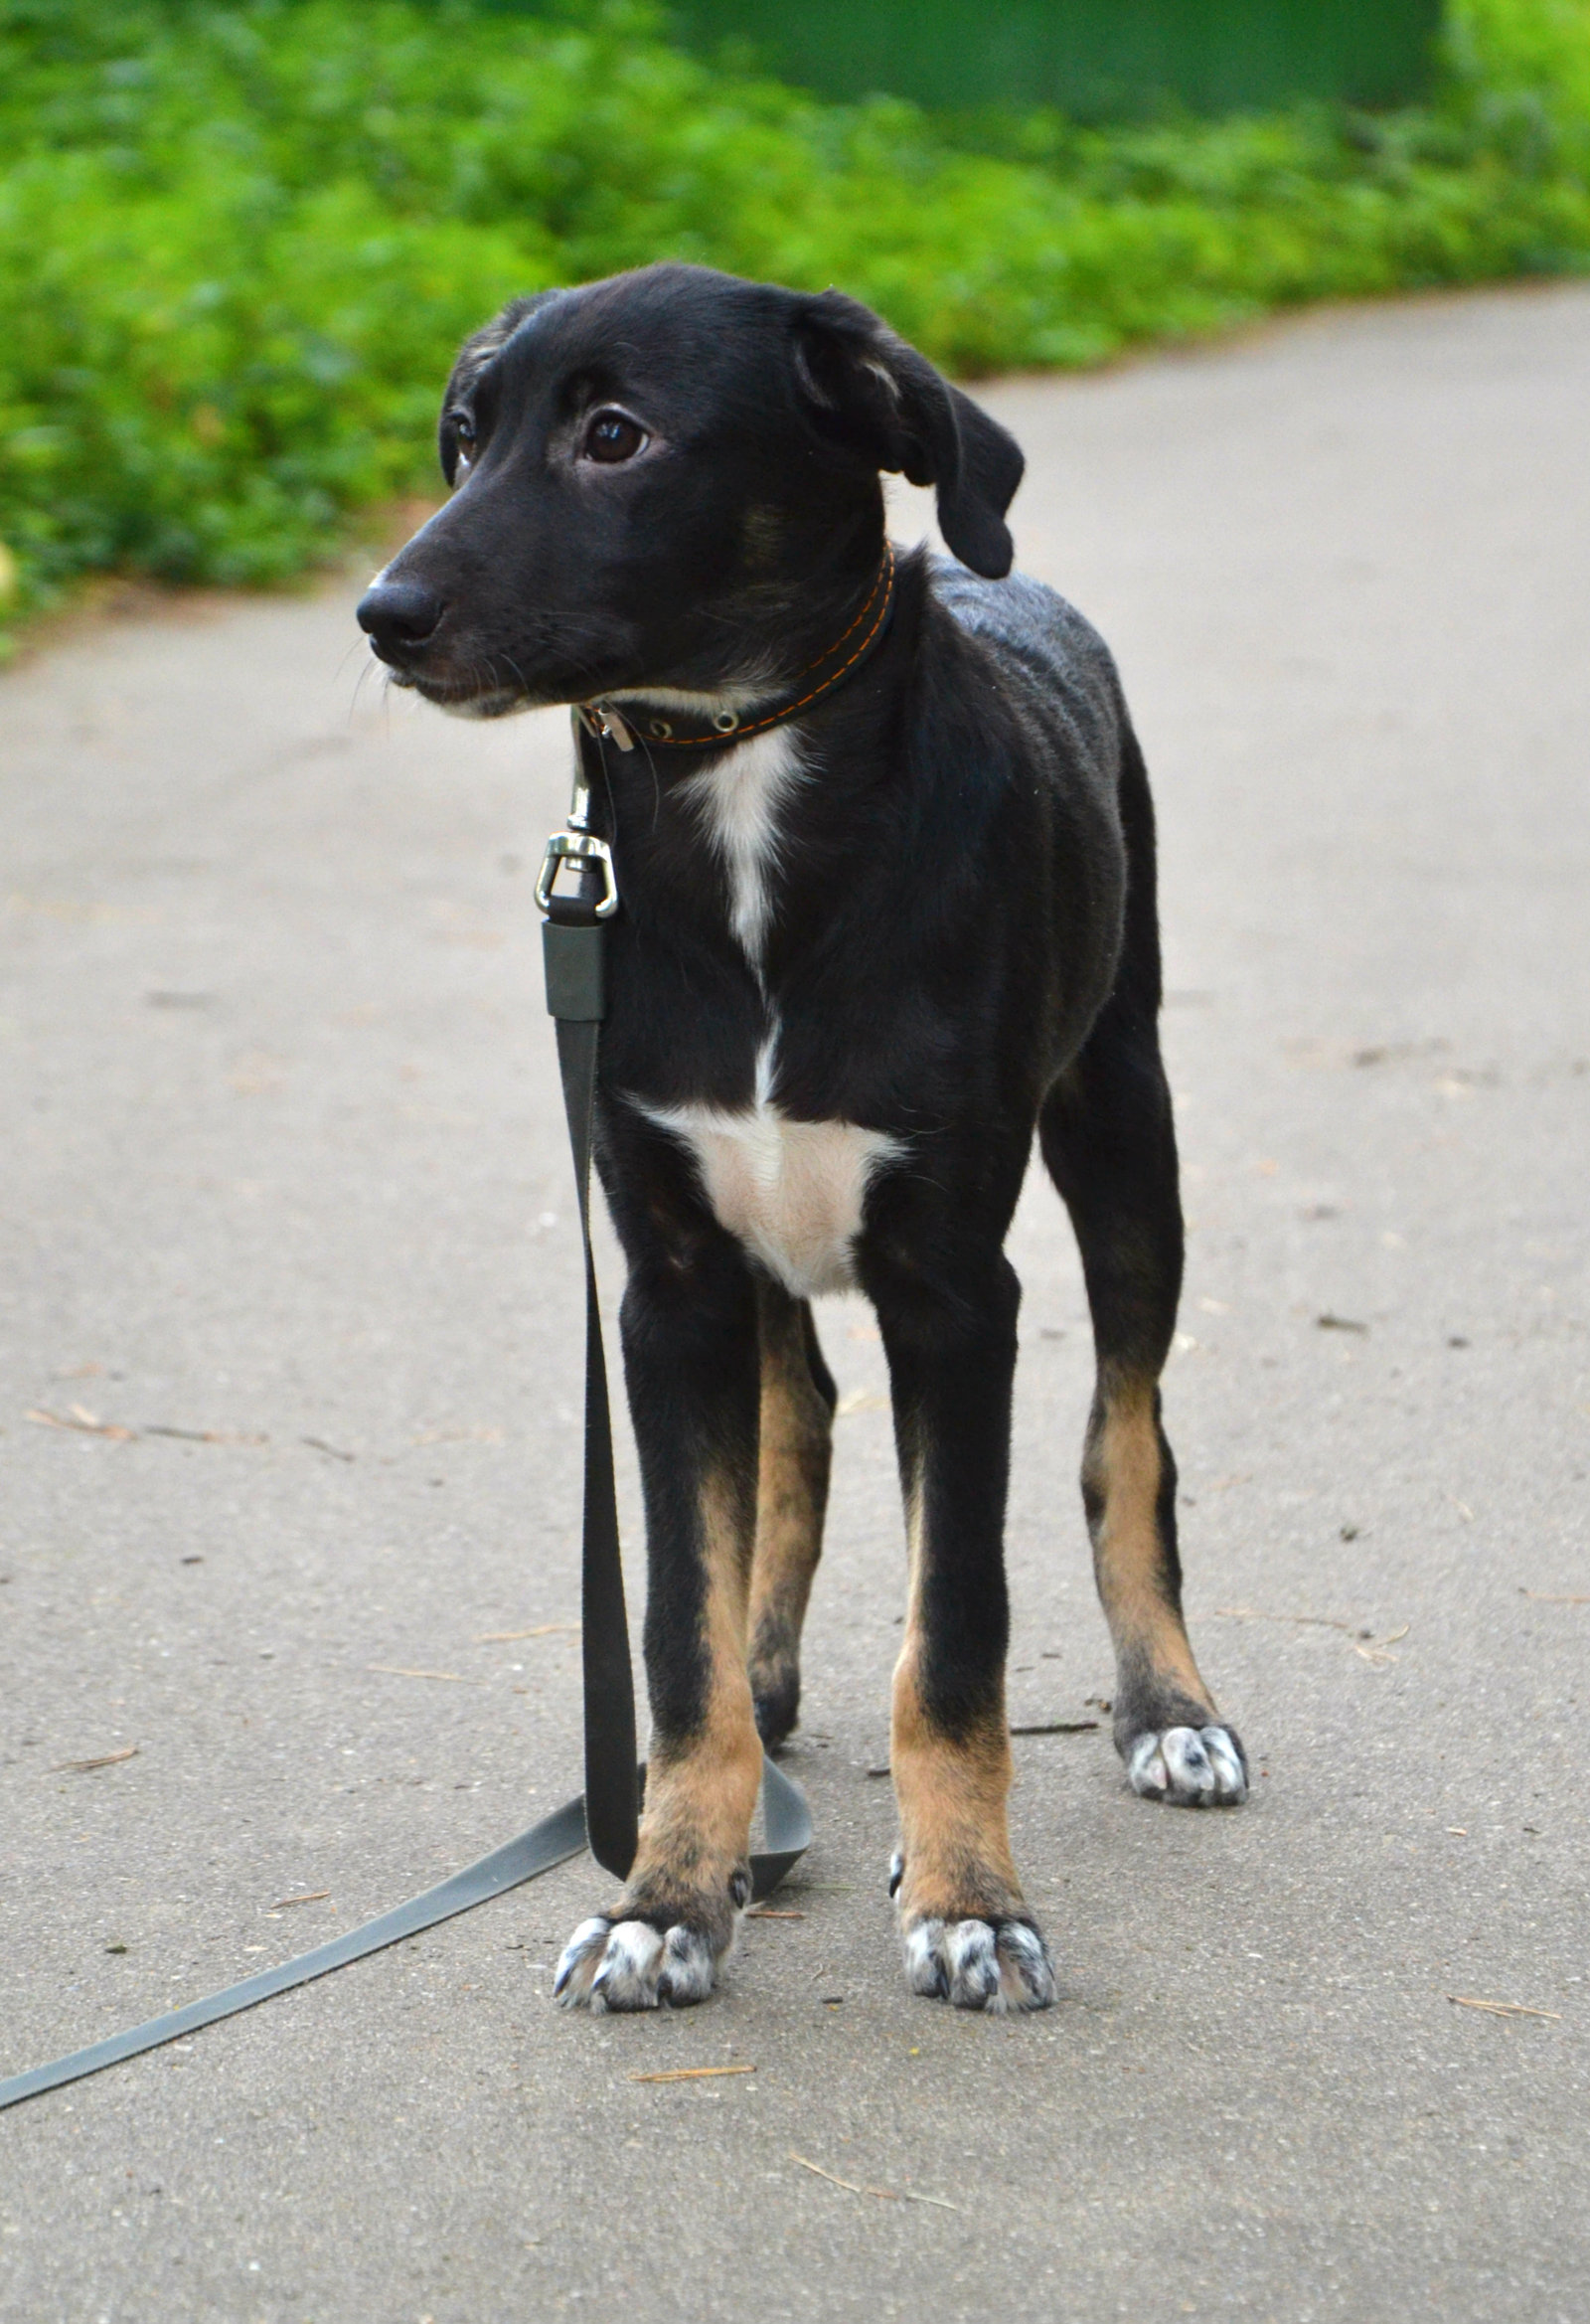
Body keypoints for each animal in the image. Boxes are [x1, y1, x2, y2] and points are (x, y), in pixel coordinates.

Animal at [358, 263, 1245, 2017]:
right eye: (466, 434)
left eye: (616, 436)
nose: (385, 613)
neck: (746, 792)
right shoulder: (671, 1280)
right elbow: (679, 1629)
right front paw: (666, 1896)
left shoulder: (957, 1292)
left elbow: (952, 1634)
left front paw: (970, 1898)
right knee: (804, 1424)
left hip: (1127, 1117)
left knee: (1128, 1434)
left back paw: (1166, 1708)